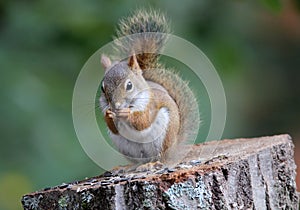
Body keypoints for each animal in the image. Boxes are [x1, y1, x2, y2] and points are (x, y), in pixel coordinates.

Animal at [99, 9, 200, 164]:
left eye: (129, 85)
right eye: (102, 88)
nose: (116, 106)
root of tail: (175, 147)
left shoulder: (151, 105)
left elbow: (143, 121)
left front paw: (126, 114)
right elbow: (114, 128)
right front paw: (108, 115)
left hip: (163, 138)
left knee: (161, 157)